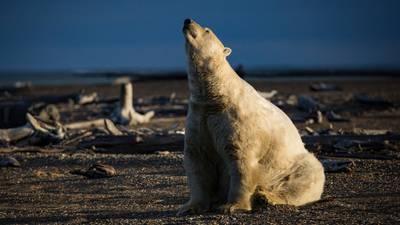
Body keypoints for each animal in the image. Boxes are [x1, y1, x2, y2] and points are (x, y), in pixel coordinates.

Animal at [179, 18, 324, 214]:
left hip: (290, 166)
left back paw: (267, 197)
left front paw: (232, 206)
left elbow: (242, 160)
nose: (187, 20)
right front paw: (190, 207)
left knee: (304, 178)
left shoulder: (236, 120)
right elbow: (198, 160)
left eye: (207, 30)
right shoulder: (199, 115)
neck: (216, 96)